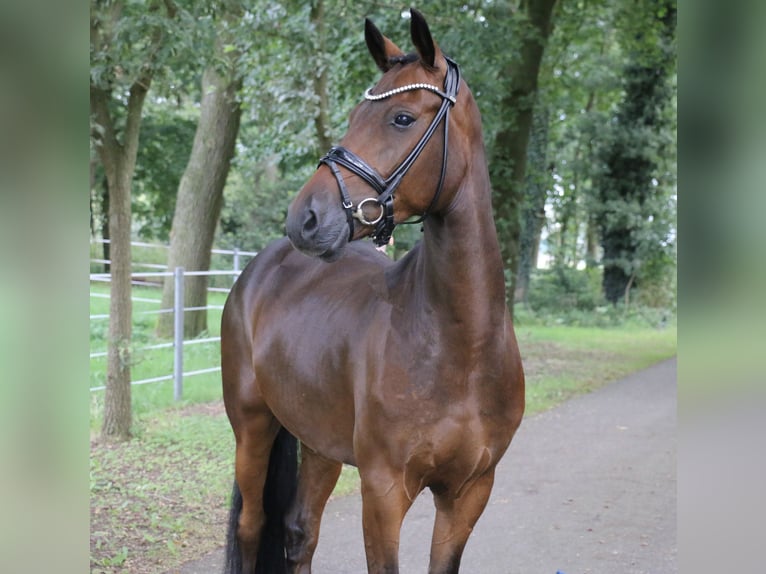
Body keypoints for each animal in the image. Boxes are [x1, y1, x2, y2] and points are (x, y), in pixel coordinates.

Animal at [219, 10, 524, 574]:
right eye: (355, 113)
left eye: (401, 118)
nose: (306, 217)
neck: (460, 346)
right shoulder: (383, 492)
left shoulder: (469, 492)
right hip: (252, 427)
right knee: (252, 527)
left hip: (319, 442)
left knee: (300, 532)